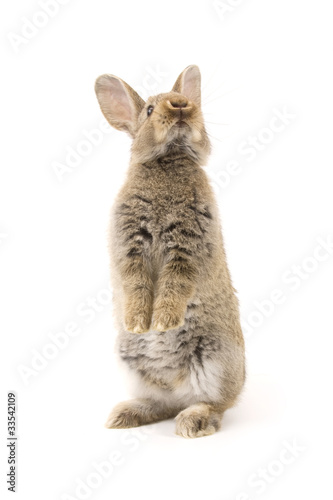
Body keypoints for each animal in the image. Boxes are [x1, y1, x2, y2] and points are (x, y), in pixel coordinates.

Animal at [93, 63, 244, 438]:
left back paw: (193, 421)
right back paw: (123, 415)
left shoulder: (187, 247)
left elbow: (175, 285)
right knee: (161, 403)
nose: (180, 105)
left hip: (216, 363)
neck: (169, 160)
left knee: (214, 404)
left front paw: (162, 322)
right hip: (134, 367)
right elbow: (135, 284)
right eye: (149, 109)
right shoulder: (129, 247)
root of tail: (178, 388)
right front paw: (138, 324)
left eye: (185, 100)